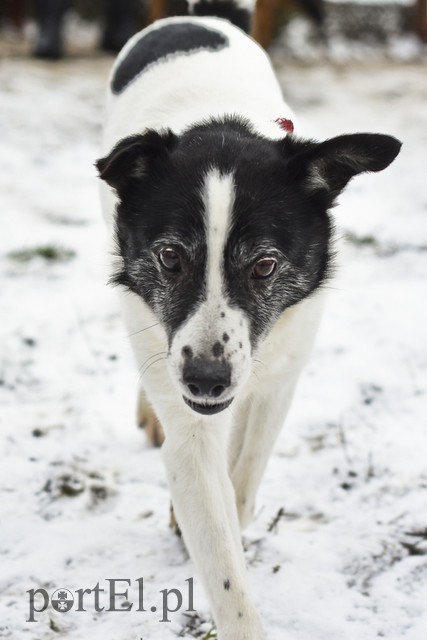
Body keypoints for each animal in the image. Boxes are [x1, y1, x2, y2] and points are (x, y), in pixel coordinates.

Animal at [96, 2, 402, 636]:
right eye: (170, 257)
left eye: (264, 264)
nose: (206, 380)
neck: (222, 125)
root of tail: (195, 17)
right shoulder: (187, 410)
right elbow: (222, 559)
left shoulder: (281, 374)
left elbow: (241, 481)